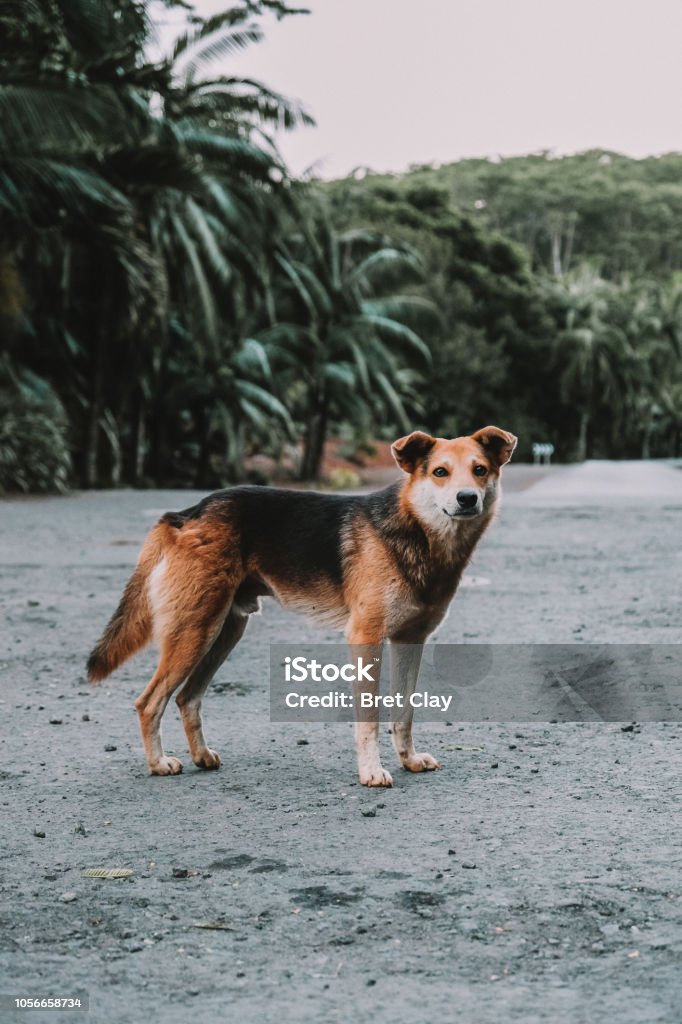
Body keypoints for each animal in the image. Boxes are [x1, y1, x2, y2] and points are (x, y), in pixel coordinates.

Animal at [89, 423, 516, 782]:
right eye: (440, 472)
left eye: (480, 470)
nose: (467, 498)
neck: (417, 533)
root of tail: (186, 513)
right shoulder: (366, 638)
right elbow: (370, 718)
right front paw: (371, 772)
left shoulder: (410, 641)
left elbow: (404, 711)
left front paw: (408, 759)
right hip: (195, 631)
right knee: (149, 702)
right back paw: (158, 763)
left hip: (222, 631)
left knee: (186, 697)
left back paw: (202, 756)